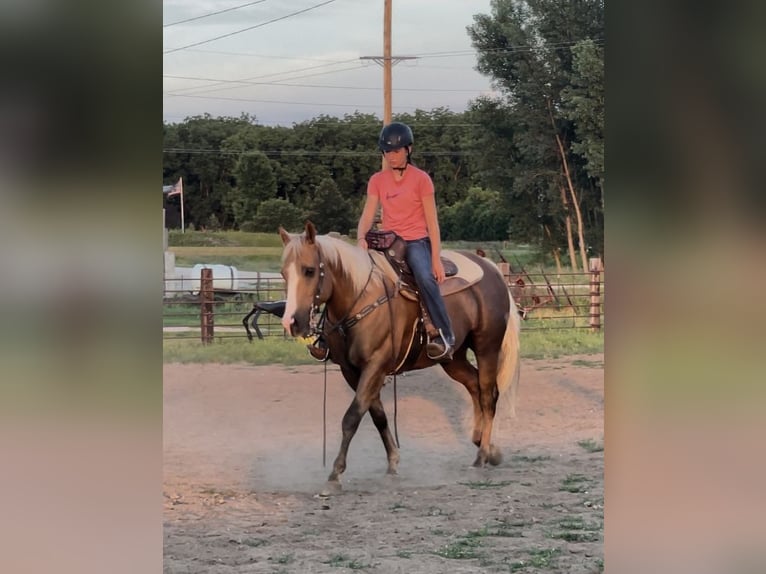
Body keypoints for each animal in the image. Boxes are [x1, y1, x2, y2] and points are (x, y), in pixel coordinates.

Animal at [280, 223, 524, 488]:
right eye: (283, 273)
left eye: (309, 270)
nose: (292, 322)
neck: (360, 297)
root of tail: (492, 270)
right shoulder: (351, 371)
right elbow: (376, 414)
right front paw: (393, 461)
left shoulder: (376, 365)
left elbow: (352, 416)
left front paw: (336, 472)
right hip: (453, 357)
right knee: (474, 386)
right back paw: (486, 446)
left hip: (486, 347)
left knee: (489, 394)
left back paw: (481, 456)